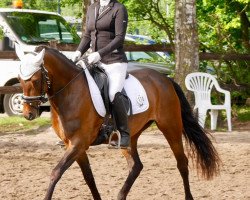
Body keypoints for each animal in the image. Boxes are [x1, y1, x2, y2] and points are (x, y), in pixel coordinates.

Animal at [15, 45, 220, 200]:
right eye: (18, 79)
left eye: (35, 79)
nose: (28, 114)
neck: (69, 92)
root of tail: (165, 79)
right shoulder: (73, 145)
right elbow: (88, 177)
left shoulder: (78, 143)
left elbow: (56, 173)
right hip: (130, 135)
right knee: (136, 166)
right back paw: (121, 195)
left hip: (171, 127)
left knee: (182, 162)